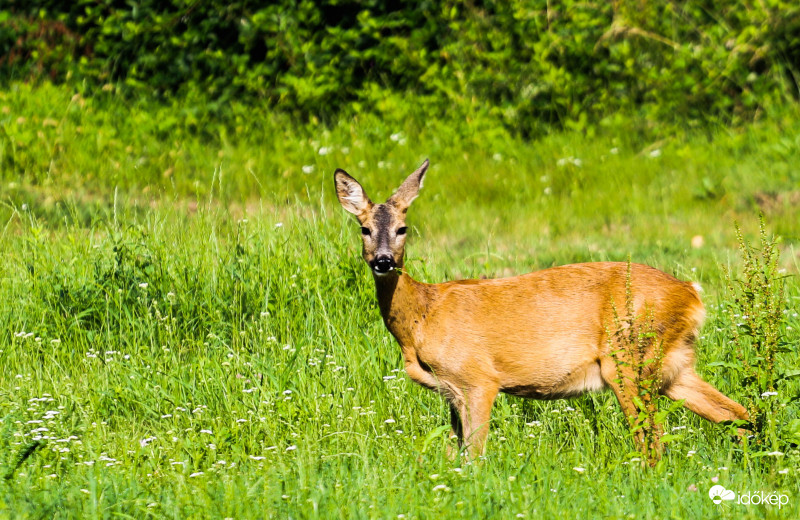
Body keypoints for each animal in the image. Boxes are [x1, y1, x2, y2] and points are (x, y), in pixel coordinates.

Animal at [332, 159, 752, 460]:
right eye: (364, 229)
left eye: (403, 228)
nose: (383, 261)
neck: (423, 315)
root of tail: (692, 293)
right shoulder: (450, 391)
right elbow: (455, 454)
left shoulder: (478, 377)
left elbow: (474, 455)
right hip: (672, 365)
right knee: (738, 414)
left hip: (628, 359)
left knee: (653, 441)